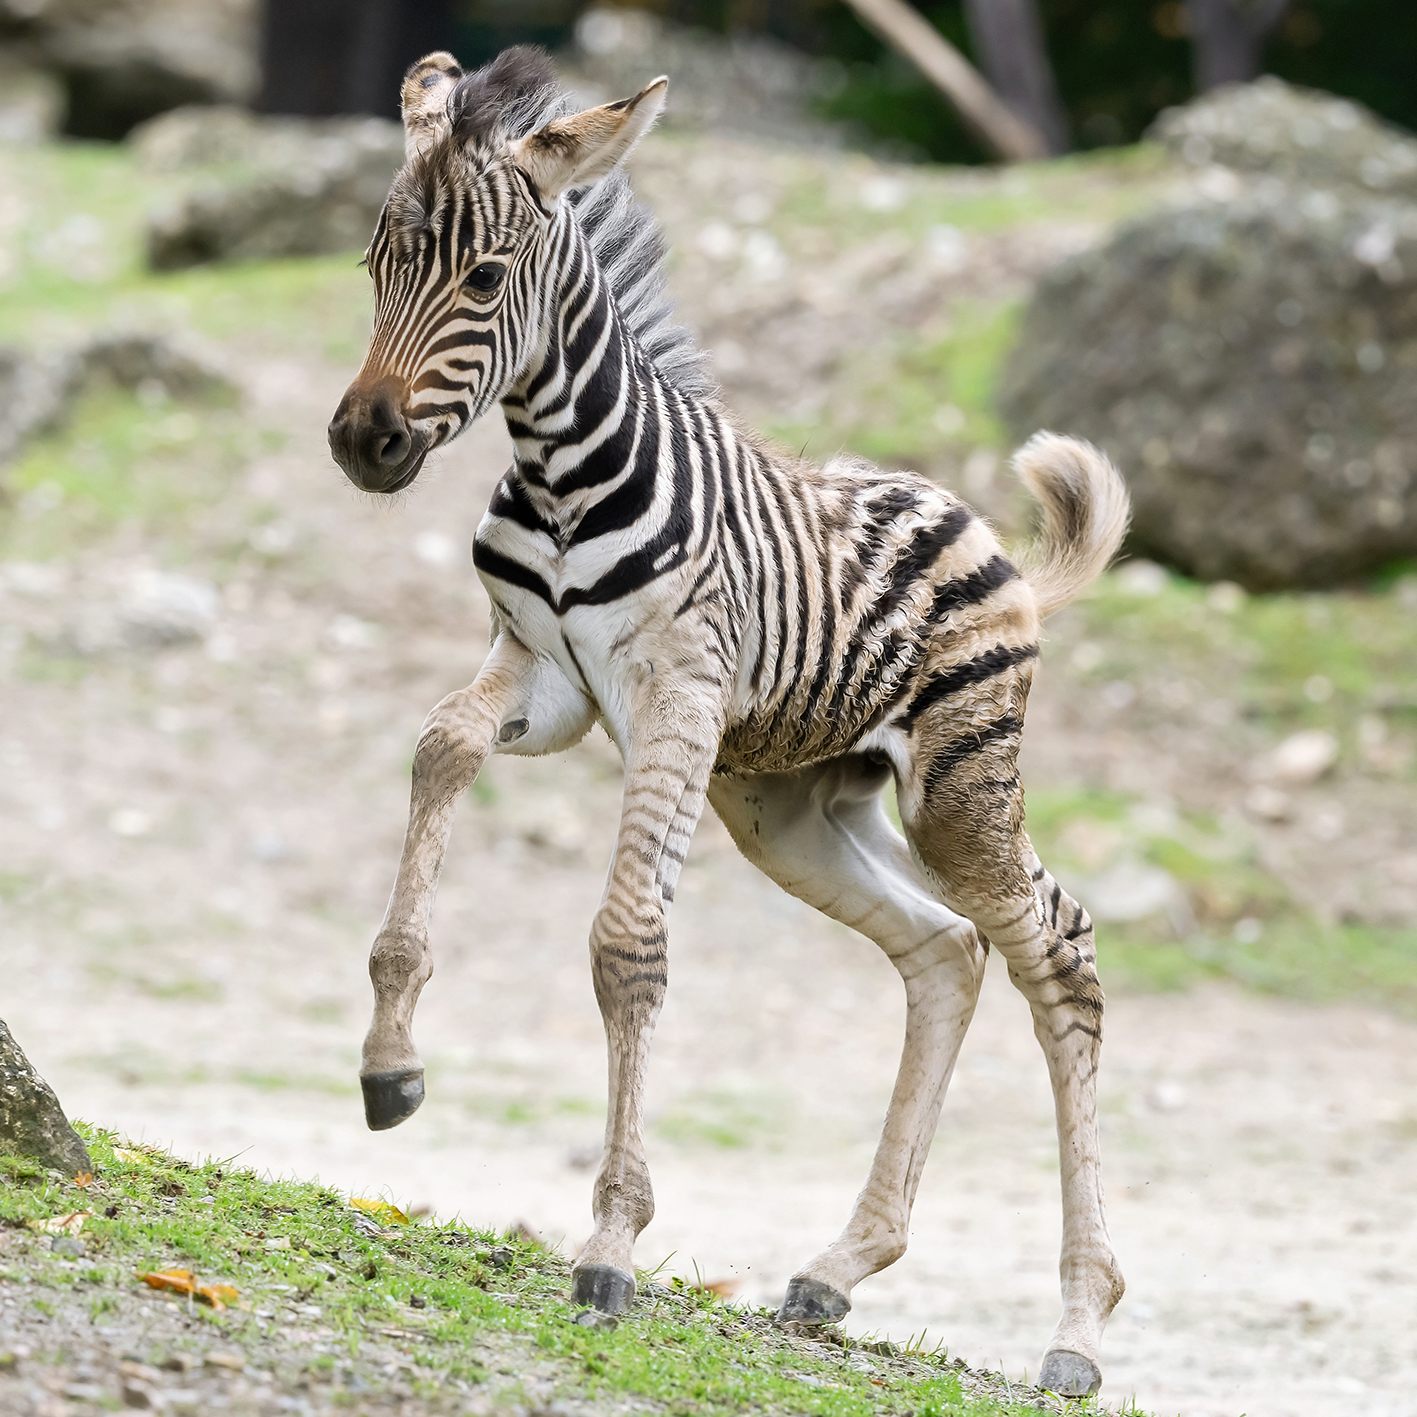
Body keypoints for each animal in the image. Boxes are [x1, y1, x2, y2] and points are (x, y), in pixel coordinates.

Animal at [328, 46, 1130, 1398]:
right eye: (374, 265)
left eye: (484, 279)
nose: (361, 442)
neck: (562, 476)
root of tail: (1007, 552)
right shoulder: (540, 674)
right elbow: (439, 745)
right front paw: (392, 1060)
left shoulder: (676, 693)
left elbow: (626, 948)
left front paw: (608, 1245)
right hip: (789, 805)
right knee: (944, 954)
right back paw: (837, 1269)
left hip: (955, 791)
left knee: (1057, 954)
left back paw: (1076, 1323)